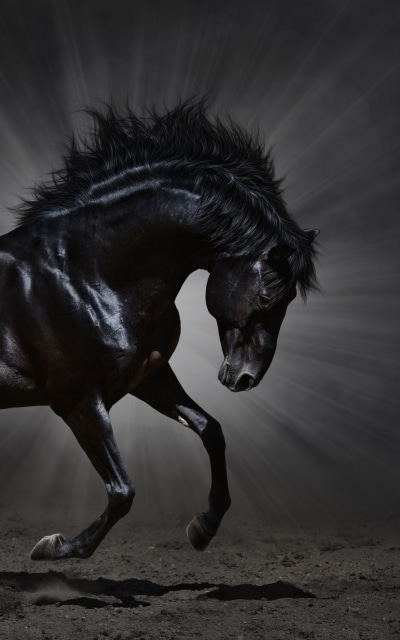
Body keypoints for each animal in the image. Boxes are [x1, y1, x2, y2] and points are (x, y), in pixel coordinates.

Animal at [0, 100, 318, 560]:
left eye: (290, 300)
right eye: (267, 297)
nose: (245, 378)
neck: (84, 272)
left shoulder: (147, 377)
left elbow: (210, 430)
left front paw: (203, 527)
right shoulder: (79, 401)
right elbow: (122, 492)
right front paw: (54, 547)